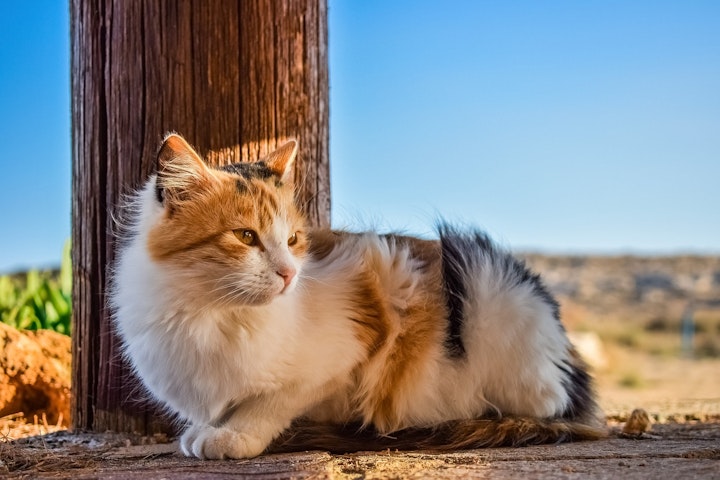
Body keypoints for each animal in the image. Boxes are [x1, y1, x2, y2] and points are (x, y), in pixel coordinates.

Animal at [111, 133, 608, 460]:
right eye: (246, 236)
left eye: (292, 240)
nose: (289, 274)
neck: (210, 312)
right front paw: (206, 428)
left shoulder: (347, 348)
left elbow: (270, 402)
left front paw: (233, 436)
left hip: (486, 287)